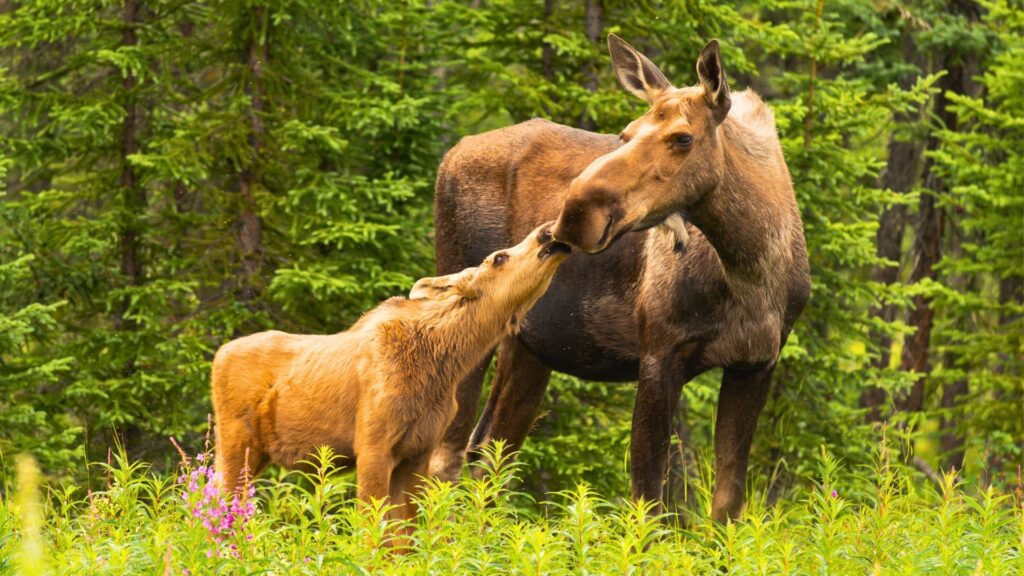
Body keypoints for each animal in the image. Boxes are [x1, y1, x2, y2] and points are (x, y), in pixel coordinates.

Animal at [211, 220, 573, 524]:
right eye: (499, 257)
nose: (546, 232)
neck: (443, 363)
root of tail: (217, 356)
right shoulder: (373, 445)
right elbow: (372, 528)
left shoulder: (417, 451)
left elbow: (403, 537)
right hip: (236, 442)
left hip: (256, 453)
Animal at [432, 35, 806, 520]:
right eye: (625, 134)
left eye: (683, 137)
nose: (574, 213)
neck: (752, 271)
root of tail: (450, 154)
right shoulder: (660, 354)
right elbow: (648, 498)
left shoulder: (756, 363)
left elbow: (726, 503)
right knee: (446, 453)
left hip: (528, 345)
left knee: (489, 452)